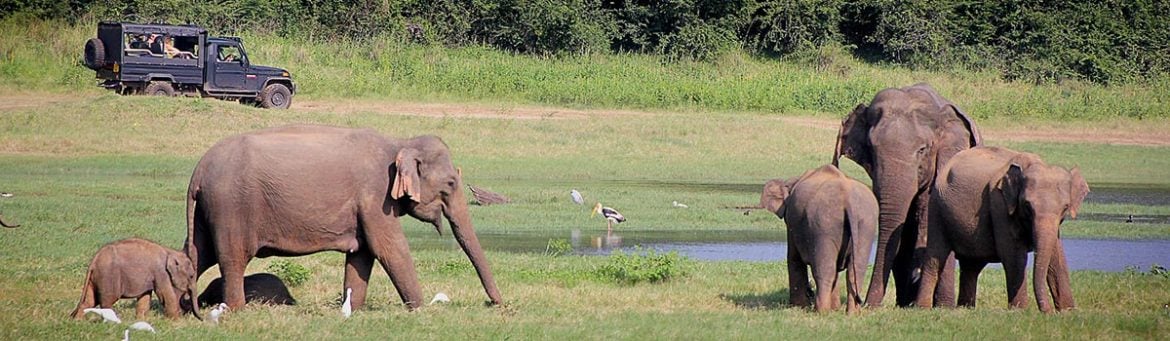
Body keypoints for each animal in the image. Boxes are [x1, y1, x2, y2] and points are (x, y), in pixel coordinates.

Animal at [70, 237, 201, 321]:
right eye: (191, 276)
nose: (202, 319)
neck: (170, 251)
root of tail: (94, 260)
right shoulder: (161, 273)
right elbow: (166, 295)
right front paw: (177, 322)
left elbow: (145, 297)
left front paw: (141, 320)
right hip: (108, 277)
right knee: (107, 301)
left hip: (96, 278)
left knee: (89, 301)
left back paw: (78, 322)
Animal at [186, 125, 503, 311]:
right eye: (450, 183)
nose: (494, 304)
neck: (400, 142)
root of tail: (198, 171)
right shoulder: (375, 196)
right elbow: (388, 248)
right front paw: (420, 309)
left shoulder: (366, 206)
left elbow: (362, 254)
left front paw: (354, 310)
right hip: (231, 207)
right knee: (232, 258)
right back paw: (236, 310)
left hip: (208, 211)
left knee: (197, 255)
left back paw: (184, 308)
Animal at [762, 165, 875, 316]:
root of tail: (848, 199)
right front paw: (835, 308)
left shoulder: (792, 221)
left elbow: (793, 258)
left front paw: (798, 307)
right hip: (865, 224)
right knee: (855, 269)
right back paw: (852, 313)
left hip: (824, 224)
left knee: (824, 269)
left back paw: (821, 311)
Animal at [828, 84, 982, 309]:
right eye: (871, 149)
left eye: (923, 150)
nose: (864, 303)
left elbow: (926, 220)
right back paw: (907, 301)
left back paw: (942, 304)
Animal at [912, 145, 1085, 314]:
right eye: (1027, 205)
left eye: (1065, 207)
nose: (1047, 312)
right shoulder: (1000, 204)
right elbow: (1012, 254)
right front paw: (1020, 311)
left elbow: (1057, 256)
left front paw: (1068, 311)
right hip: (937, 208)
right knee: (936, 257)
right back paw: (923, 308)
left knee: (971, 265)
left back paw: (965, 308)